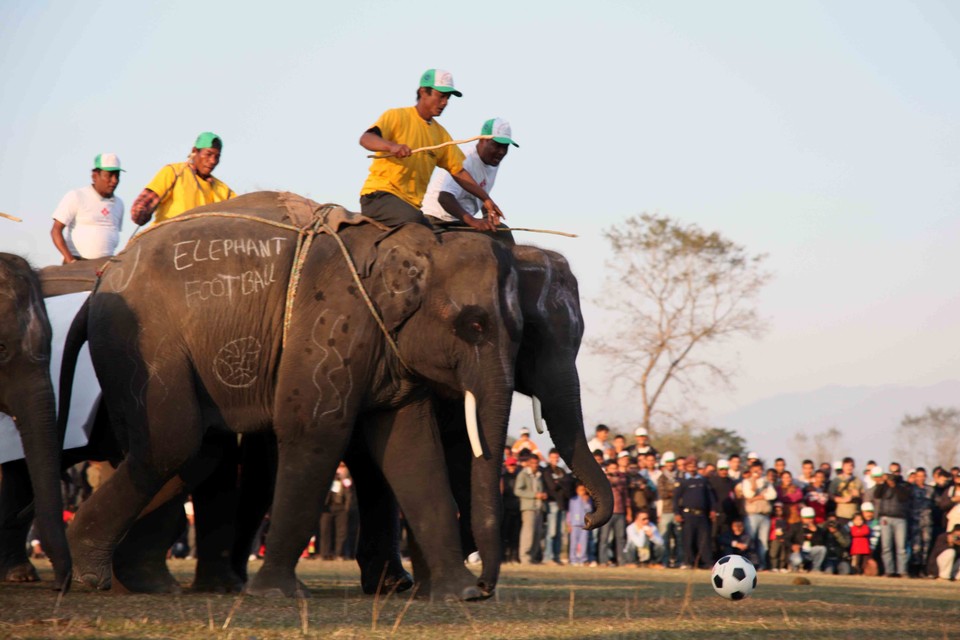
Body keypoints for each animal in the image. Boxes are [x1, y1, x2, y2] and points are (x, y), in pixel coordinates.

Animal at [63, 191, 520, 600]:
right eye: (474, 325)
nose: (485, 586)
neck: (408, 242)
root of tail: (101, 282)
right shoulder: (331, 320)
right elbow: (314, 430)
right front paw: (277, 595)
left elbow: (413, 450)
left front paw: (459, 596)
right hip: (143, 342)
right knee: (171, 442)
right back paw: (92, 574)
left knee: (193, 453)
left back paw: (135, 581)